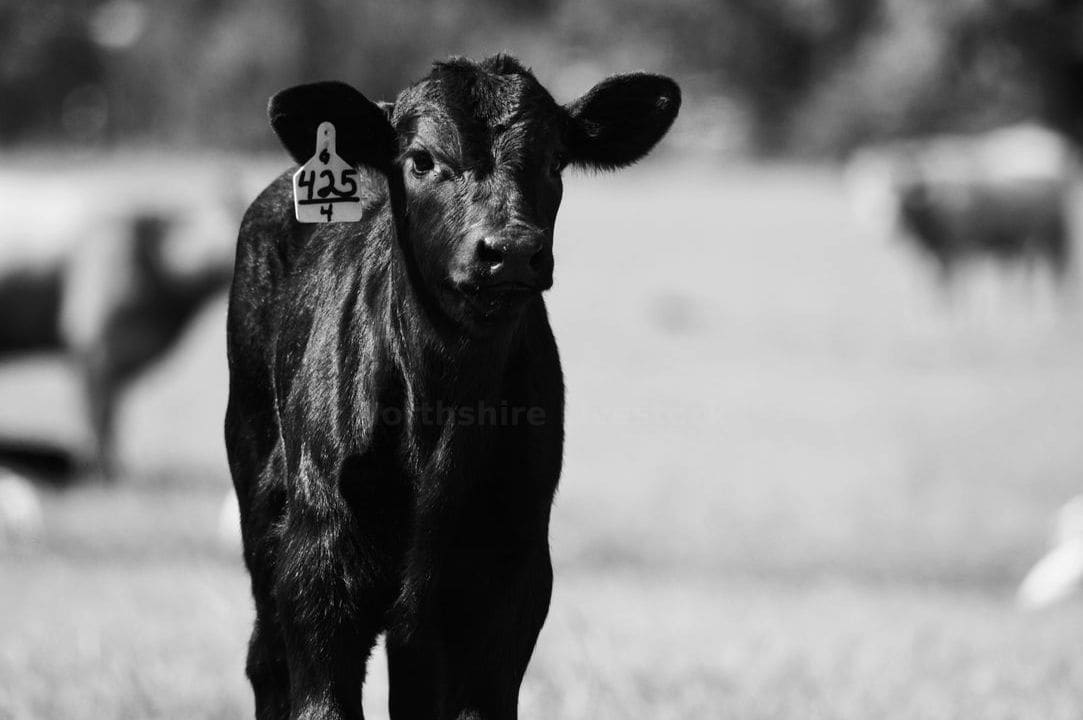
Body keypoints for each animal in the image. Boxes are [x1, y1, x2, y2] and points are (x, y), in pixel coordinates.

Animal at [225, 54, 679, 720]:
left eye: (554, 160)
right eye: (420, 159)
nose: (509, 251)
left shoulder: (510, 577)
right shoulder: (319, 566)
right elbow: (321, 698)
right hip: (259, 494)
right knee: (266, 660)